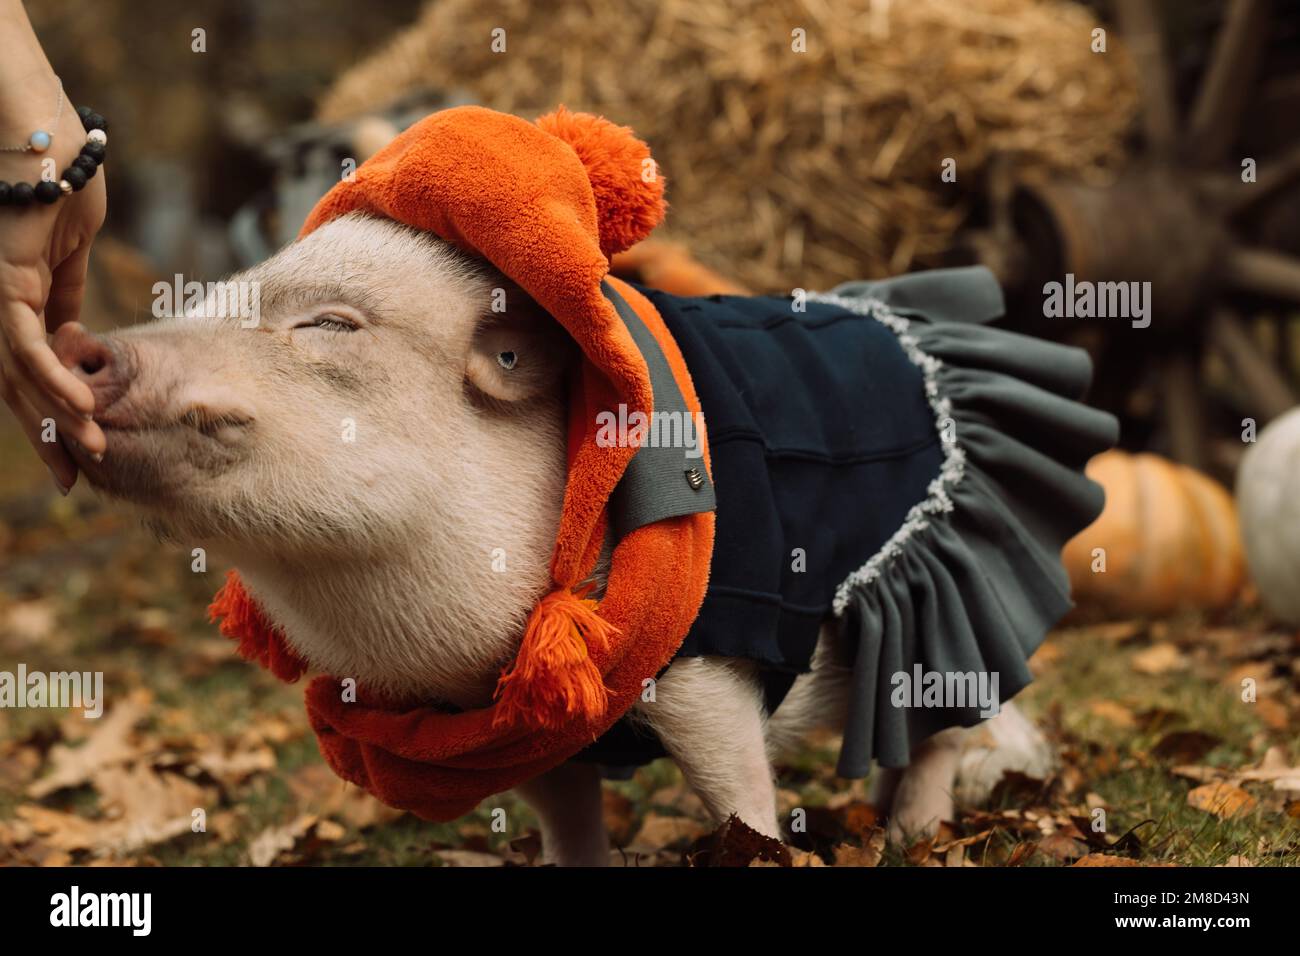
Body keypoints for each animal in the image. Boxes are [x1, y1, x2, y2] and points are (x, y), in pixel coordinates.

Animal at [55, 214, 1060, 868]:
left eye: (331, 324)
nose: (83, 349)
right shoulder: (529, 733)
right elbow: (569, 822)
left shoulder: (704, 672)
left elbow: (737, 788)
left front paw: (766, 845)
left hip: (941, 598)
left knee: (942, 729)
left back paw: (913, 834)